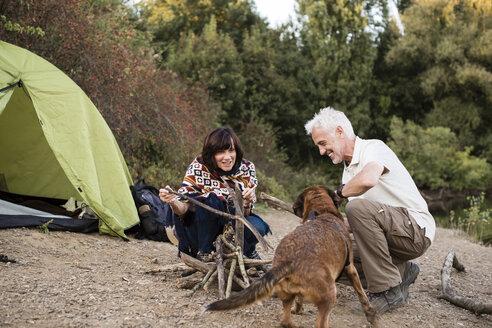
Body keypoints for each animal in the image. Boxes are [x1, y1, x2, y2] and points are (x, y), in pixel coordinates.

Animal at [206, 186, 378, 326]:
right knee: (320, 323)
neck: (322, 212)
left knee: (285, 321)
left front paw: (299, 309)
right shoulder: (350, 268)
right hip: (329, 295)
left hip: (287, 295)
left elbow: (299, 300)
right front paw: (371, 314)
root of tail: (288, 262)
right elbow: (362, 293)